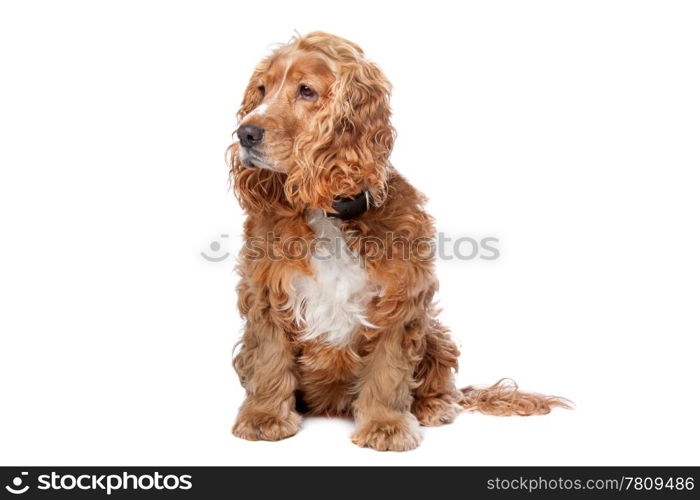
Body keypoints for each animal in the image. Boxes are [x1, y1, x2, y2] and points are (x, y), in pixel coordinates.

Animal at [230, 32, 568, 454]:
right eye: (261, 89)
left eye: (306, 90)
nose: (245, 133)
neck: (330, 213)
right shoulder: (266, 291)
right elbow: (269, 359)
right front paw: (264, 418)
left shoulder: (400, 297)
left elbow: (388, 371)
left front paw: (386, 426)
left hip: (432, 328)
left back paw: (434, 406)